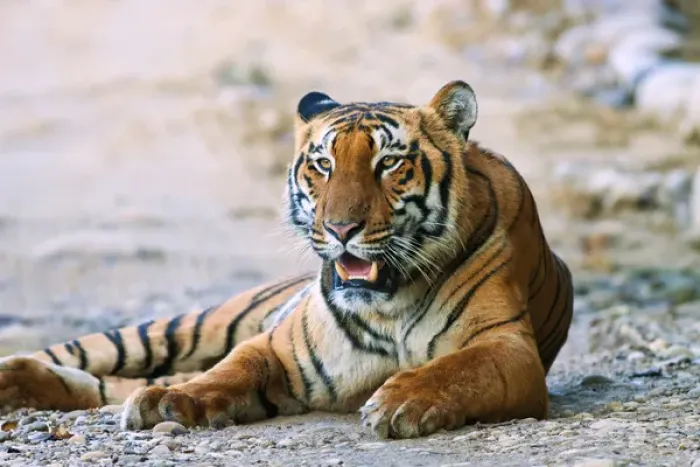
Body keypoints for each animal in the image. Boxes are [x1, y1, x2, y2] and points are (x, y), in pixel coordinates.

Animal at [0, 80, 573, 439]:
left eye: (389, 163)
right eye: (323, 164)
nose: (341, 229)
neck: (388, 303)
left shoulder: (508, 346)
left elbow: (459, 368)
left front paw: (401, 401)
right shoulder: (278, 346)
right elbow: (229, 370)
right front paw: (171, 399)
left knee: (103, 385)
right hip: (184, 327)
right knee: (90, 354)